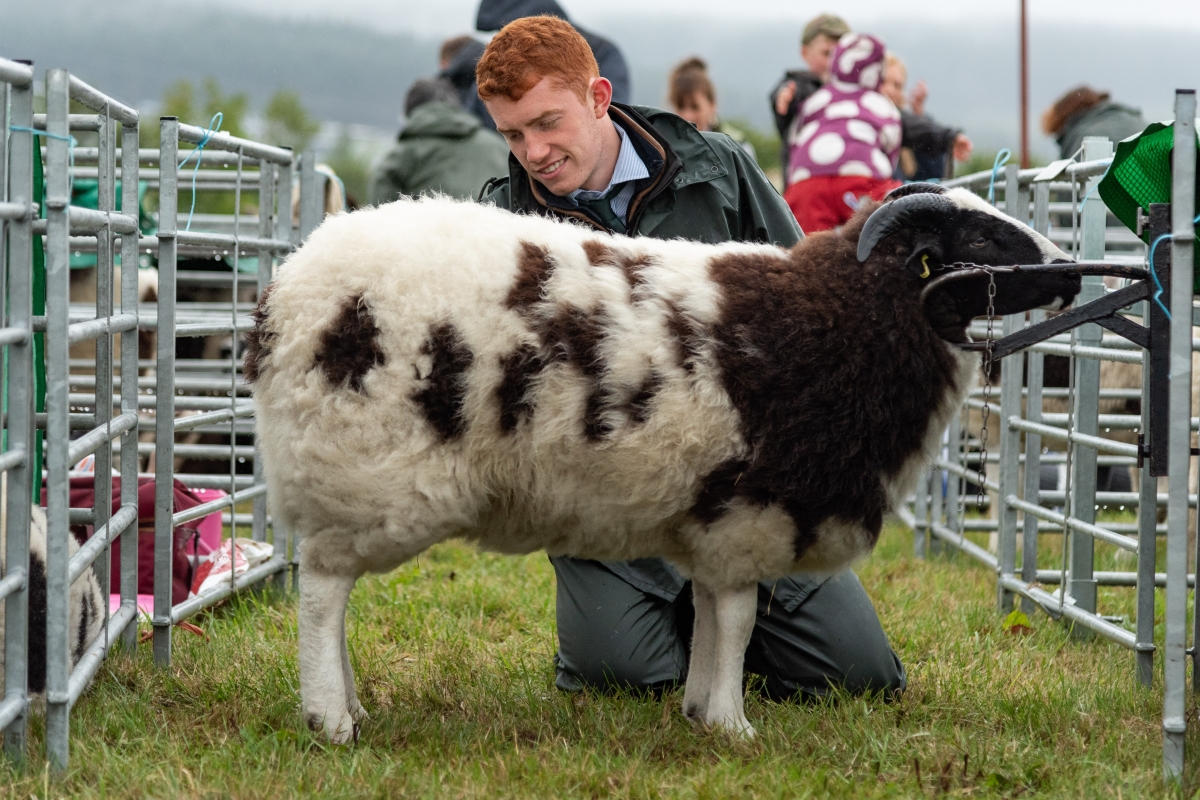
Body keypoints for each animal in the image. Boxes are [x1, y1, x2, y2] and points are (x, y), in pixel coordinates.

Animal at [248, 184, 1081, 743]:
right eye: (983, 241)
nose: (1074, 270)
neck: (852, 316)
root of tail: (286, 295)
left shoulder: (714, 522)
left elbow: (712, 613)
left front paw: (700, 712)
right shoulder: (753, 512)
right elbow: (739, 617)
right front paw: (734, 725)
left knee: (334, 591)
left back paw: (352, 704)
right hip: (364, 469)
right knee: (323, 593)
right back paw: (331, 718)